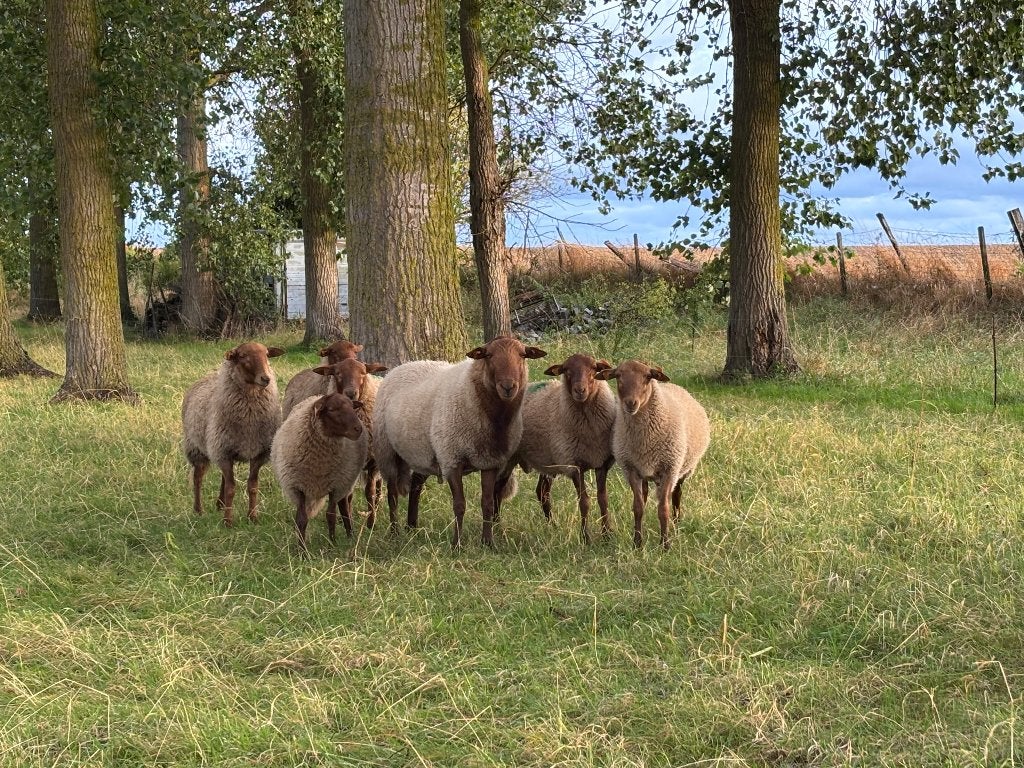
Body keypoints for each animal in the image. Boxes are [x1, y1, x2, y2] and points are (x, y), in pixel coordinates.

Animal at [181, 341, 285, 526]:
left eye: (267, 354)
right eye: (243, 356)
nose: (266, 379)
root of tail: (208, 375)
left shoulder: (258, 453)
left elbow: (252, 486)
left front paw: (252, 517)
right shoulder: (224, 452)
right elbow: (231, 489)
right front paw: (228, 521)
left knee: (223, 478)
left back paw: (220, 504)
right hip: (197, 448)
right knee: (198, 478)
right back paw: (198, 510)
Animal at [270, 392, 368, 551]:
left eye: (352, 407)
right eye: (332, 409)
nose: (358, 429)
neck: (319, 464)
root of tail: (318, 395)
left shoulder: (336, 486)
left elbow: (331, 516)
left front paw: (332, 543)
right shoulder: (297, 487)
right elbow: (301, 519)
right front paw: (302, 550)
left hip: (345, 481)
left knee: (344, 508)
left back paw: (350, 535)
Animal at [373, 335, 547, 547]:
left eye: (523, 355)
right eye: (489, 355)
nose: (508, 387)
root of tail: (402, 366)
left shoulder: (489, 461)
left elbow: (488, 504)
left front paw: (488, 543)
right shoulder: (451, 459)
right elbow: (459, 505)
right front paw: (456, 544)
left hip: (424, 453)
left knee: (415, 485)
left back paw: (411, 526)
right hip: (387, 451)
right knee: (392, 495)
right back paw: (395, 532)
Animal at [505, 353, 617, 543]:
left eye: (594, 368)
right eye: (567, 370)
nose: (580, 390)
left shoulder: (601, 462)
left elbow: (603, 499)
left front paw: (607, 535)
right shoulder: (573, 464)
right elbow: (584, 502)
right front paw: (586, 537)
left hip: (546, 461)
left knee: (542, 492)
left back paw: (553, 526)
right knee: (494, 492)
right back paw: (496, 527)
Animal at [595, 359, 710, 549]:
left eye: (647, 377)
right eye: (618, 376)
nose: (630, 403)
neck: (645, 439)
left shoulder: (670, 469)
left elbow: (663, 509)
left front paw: (665, 544)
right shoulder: (631, 469)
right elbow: (638, 507)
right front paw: (637, 543)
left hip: (683, 468)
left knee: (677, 494)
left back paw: (677, 523)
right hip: (646, 471)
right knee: (646, 494)